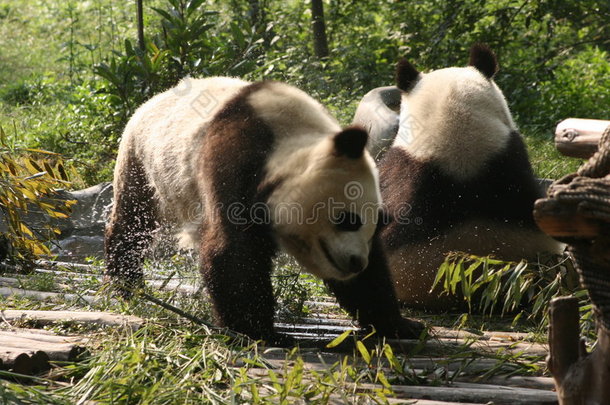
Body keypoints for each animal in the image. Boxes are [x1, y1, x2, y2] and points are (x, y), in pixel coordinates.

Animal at [104, 76, 420, 340]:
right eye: (349, 220)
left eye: (376, 225)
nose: (356, 262)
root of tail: (157, 97)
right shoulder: (234, 162)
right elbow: (234, 250)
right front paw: (259, 330)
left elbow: (370, 280)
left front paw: (402, 325)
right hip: (140, 157)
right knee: (132, 221)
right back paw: (126, 284)